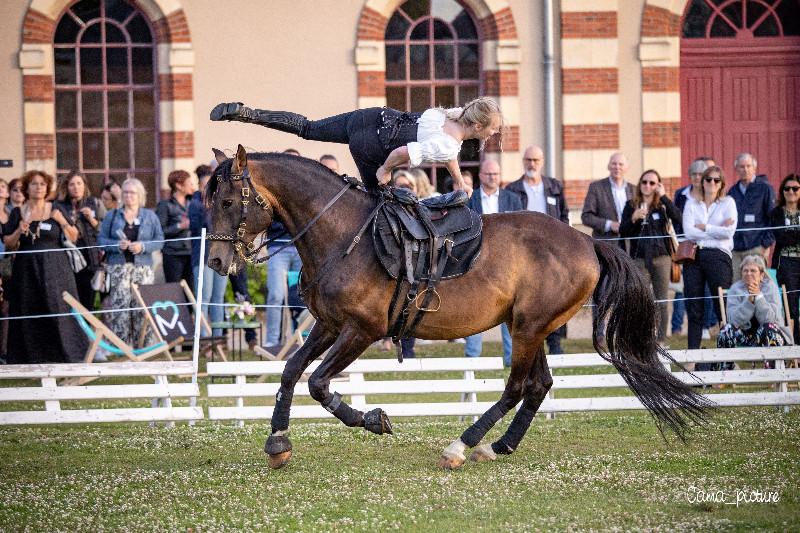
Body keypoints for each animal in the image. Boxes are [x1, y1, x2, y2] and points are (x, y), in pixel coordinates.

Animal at [203, 145, 708, 470]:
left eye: (227, 201)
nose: (216, 262)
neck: (342, 233)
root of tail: (588, 242)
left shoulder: (361, 330)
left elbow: (319, 383)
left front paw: (372, 419)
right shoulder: (328, 324)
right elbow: (291, 371)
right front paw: (278, 440)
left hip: (527, 329)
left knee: (517, 387)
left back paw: (461, 446)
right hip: (533, 327)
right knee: (539, 385)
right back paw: (499, 447)